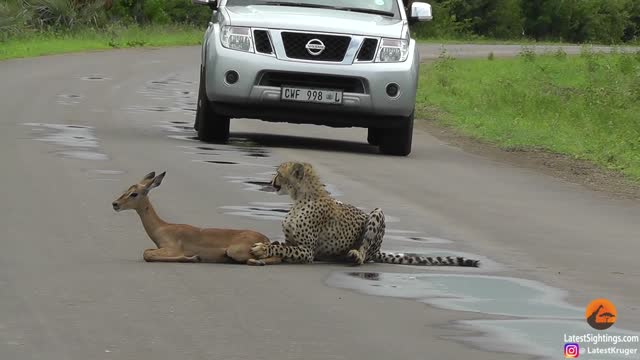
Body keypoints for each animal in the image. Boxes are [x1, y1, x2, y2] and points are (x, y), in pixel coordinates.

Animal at [250, 161, 480, 268]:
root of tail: (377, 251)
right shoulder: (293, 241)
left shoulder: (307, 251)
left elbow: (283, 249)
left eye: (279, 173)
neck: (299, 198)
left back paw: (354, 255)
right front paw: (263, 246)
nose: (271, 181)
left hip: (377, 213)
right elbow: (280, 244)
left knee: (363, 256)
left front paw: (263, 249)